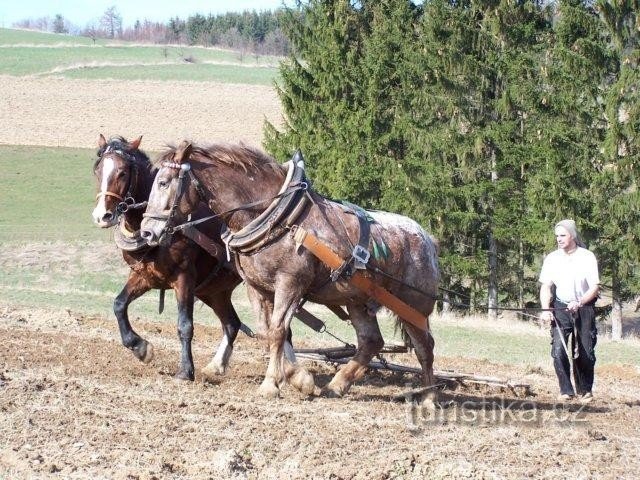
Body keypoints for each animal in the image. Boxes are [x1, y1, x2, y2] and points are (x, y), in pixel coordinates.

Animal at [91, 133, 246, 380]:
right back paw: (216, 365)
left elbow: (185, 324)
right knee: (232, 323)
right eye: (97, 170)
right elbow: (119, 304)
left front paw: (185, 370)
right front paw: (140, 347)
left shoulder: (184, 278)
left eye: (123, 172)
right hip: (214, 290)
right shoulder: (145, 275)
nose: (101, 216)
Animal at [140, 142, 440, 402]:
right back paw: (337, 385)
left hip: (414, 305)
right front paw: (299, 379)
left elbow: (278, 330)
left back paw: (428, 397)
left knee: (425, 348)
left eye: (164, 182)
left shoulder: (290, 284)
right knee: (371, 341)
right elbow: (269, 331)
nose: (147, 232)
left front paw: (271, 384)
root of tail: (427, 239)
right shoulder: (257, 288)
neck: (279, 219)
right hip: (357, 300)